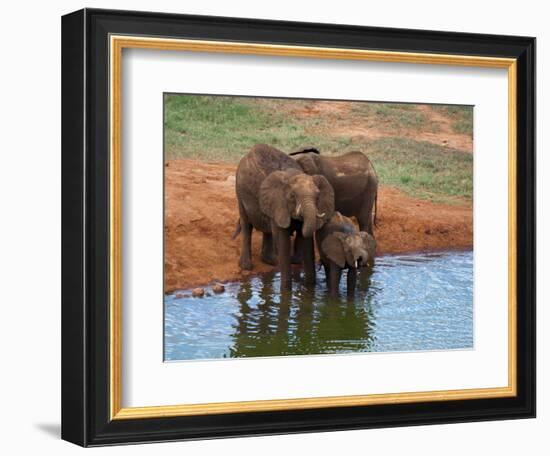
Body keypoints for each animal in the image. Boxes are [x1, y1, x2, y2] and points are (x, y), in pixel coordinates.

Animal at [234, 144, 334, 290]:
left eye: (317, 196)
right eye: (293, 196)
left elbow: (306, 240)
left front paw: (309, 289)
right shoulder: (279, 203)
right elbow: (282, 240)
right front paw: (286, 291)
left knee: (267, 229)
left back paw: (271, 261)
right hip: (239, 191)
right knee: (247, 224)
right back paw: (246, 266)